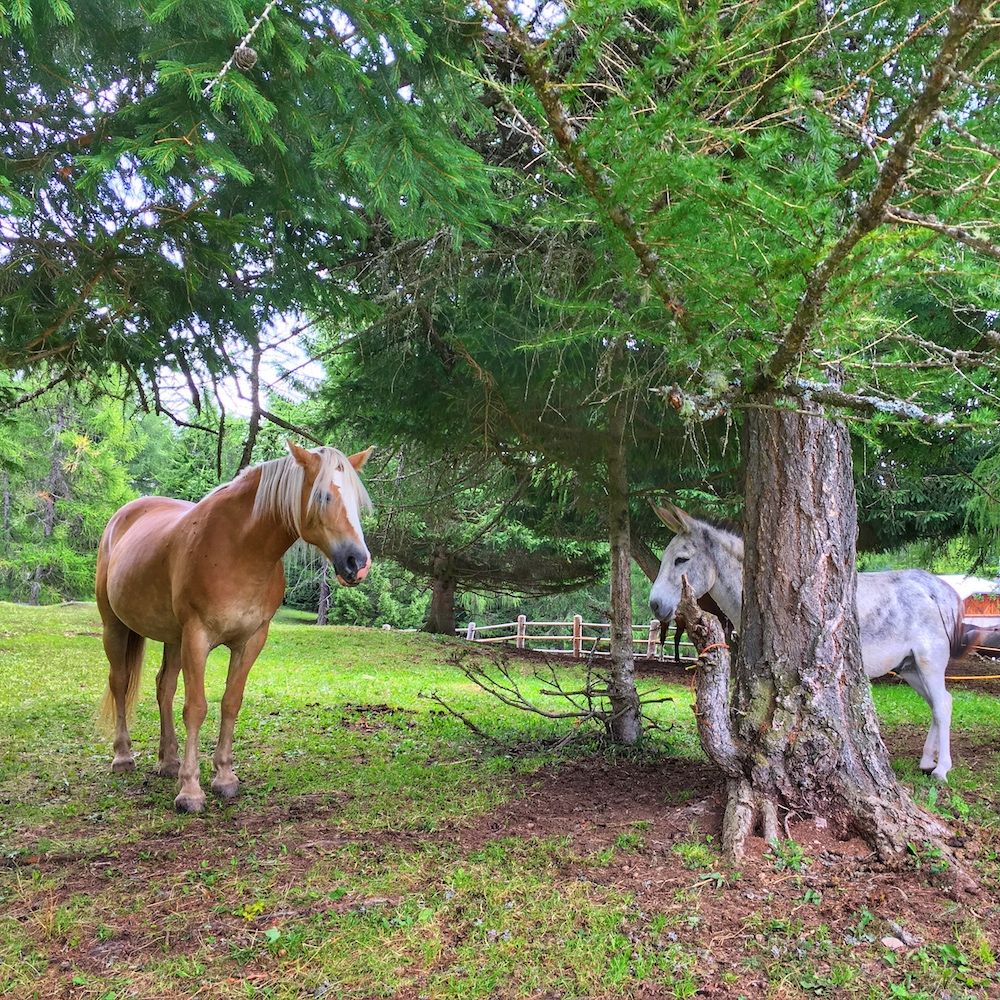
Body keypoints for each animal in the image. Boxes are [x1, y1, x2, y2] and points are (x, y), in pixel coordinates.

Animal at [97, 442, 374, 808]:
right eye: (322, 496)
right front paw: (190, 790)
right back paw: (123, 756)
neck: (238, 549)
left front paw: (224, 777)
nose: (358, 563)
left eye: (357, 500)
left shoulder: (251, 640)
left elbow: (231, 702)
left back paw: (168, 761)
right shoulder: (197, 636)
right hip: (114, 626)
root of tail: (122, 516)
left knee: (163, 687)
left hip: (172, 638)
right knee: (120, 682)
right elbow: (196, 708)